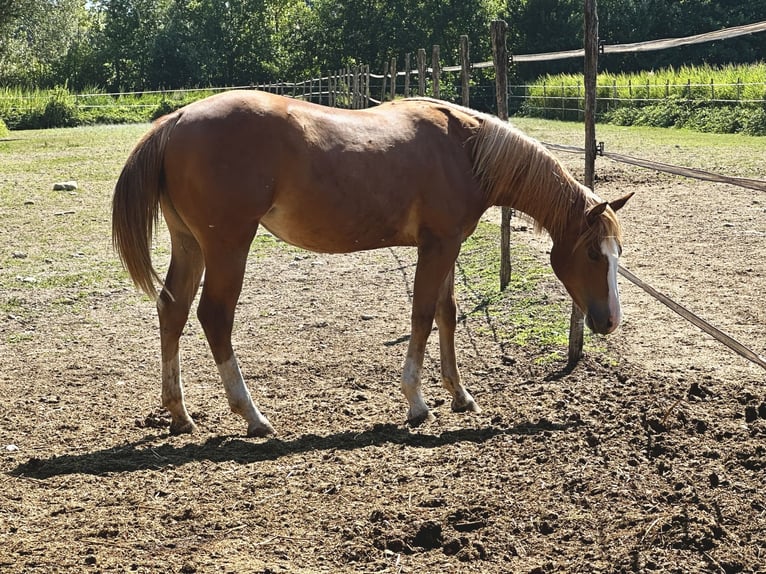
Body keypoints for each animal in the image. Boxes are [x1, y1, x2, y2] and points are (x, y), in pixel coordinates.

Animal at [111, 90, 632, 438]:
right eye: (592, 252)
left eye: (618, 254)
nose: (609, 321)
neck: (463, 149)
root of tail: (176, 119)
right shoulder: (436, 247)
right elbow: (422, 316)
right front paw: (417, 403)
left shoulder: (446, 246)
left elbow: (447, 314)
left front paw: (459, 394)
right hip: (228, 246)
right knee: (214, 317)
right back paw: (253, 416)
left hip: (191, 245)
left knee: (172, 310)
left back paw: (179, 413)